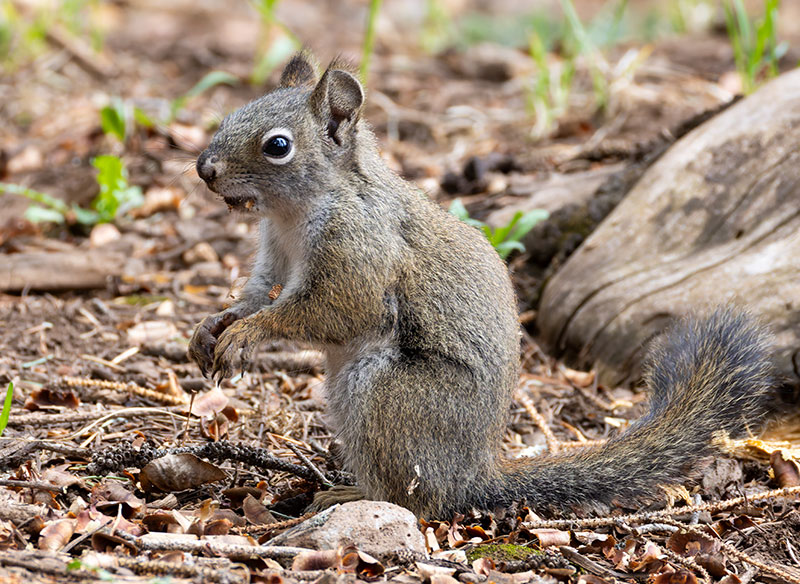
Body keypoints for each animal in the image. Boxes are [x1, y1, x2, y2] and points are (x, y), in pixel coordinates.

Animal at [190, 52, 775, 518]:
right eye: (233, 113)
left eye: (277, 146)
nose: (204, 168)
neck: (295, 212)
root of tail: (473, 474)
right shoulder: (274, 255)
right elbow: (255, 293)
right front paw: (212, 327)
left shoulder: (359, 252)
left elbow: (331, 310)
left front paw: (248, 334)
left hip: (388, 398)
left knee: (417, 498)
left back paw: (355, 495)